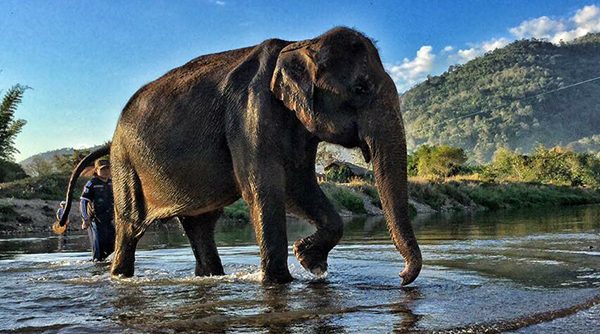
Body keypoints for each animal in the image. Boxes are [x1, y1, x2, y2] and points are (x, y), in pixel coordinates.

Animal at [57, 27, 422, 286]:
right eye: (361, 88)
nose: (401, 277)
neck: (301, 43)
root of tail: (112, 137)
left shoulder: (296, 124)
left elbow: (299, 186)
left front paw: (309, 260)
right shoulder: (249, 114)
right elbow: (266, 189)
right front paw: (281, 281)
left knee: (201, 226)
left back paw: (211, 276)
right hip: (126, 162)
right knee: (131, 224)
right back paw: (121, 277)